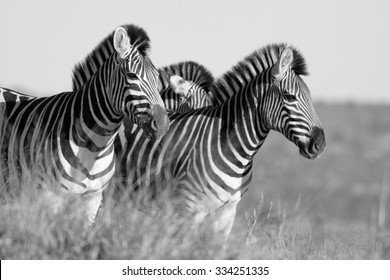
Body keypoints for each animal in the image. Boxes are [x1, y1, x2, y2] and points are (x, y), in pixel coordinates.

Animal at [0, 23, 170, 225]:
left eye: (157, 77)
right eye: (132, 75)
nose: (163, 124)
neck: (94, 147)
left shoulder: (92, 199)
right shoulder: (50, 196)